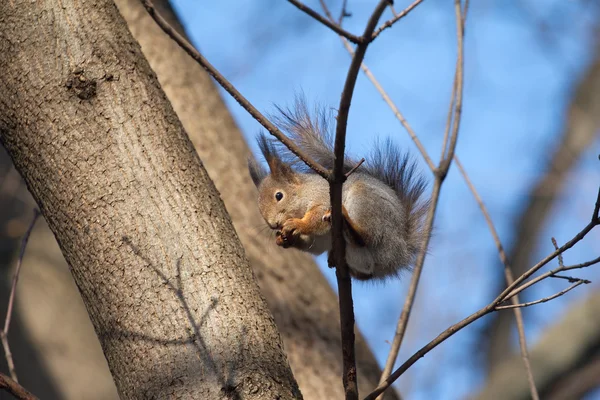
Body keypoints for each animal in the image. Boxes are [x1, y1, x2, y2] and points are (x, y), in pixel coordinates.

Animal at [248, 101, 432, 280]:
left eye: (279, 195)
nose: (273, 225)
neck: (304, 192)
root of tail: (400, 254)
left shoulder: (323, 197)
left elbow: (316, 218)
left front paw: (298, 224)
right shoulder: (320, 239)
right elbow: (313, 243)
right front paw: (284, 239)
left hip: (367, 203)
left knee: (366, 238)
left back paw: (349, 225)